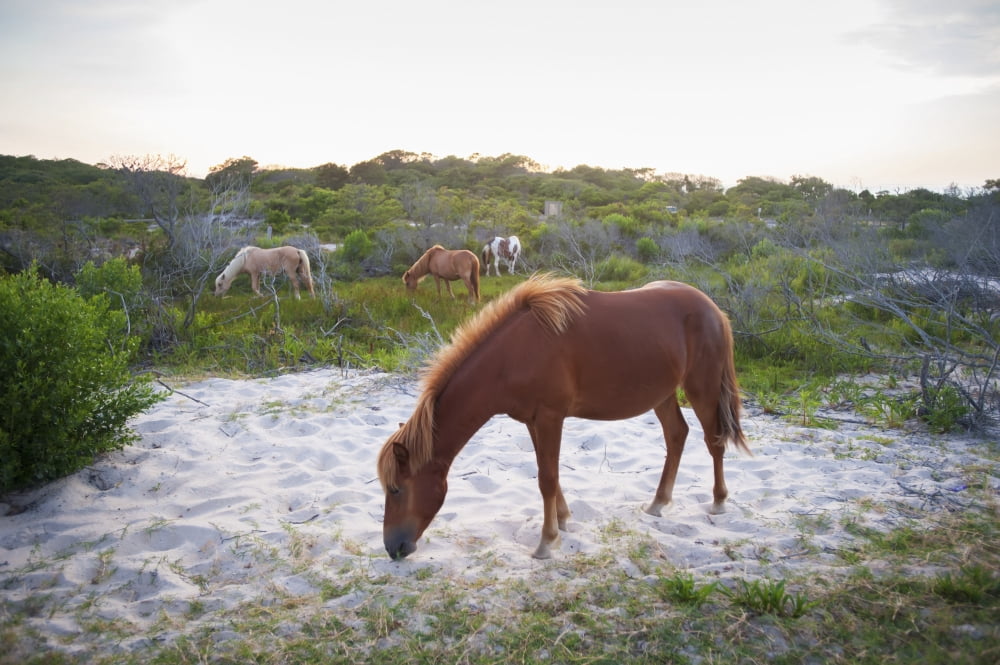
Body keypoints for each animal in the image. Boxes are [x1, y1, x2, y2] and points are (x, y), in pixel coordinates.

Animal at [377, 274, 750, 560]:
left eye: (396, 489)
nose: (393, 548)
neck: (513, 354)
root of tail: (713, 309)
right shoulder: (532, 420)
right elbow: (548, 475)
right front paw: (564, 520)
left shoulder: (550, 417)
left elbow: (547, 478)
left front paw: (546, 542)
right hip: (663, 394)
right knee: (677, 435)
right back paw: (658, 503)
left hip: (702, 389)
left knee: (713, 440)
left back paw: (718, 502)